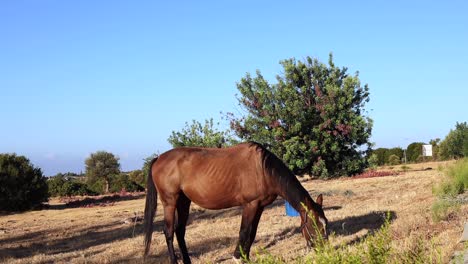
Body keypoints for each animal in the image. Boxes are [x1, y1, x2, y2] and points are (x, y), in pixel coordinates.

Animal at [144, 141, 330, 262]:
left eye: (325, 223)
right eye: (314, 224)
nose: (324, 250)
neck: (263, 169)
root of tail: (158, 158)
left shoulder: (259, 207)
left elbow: (252, 233)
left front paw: (246, 257)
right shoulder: (250, 205)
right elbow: (244, 231)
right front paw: (237, 257)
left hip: (184, 202)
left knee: (180, 231)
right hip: (170, 202)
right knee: (168, 232)